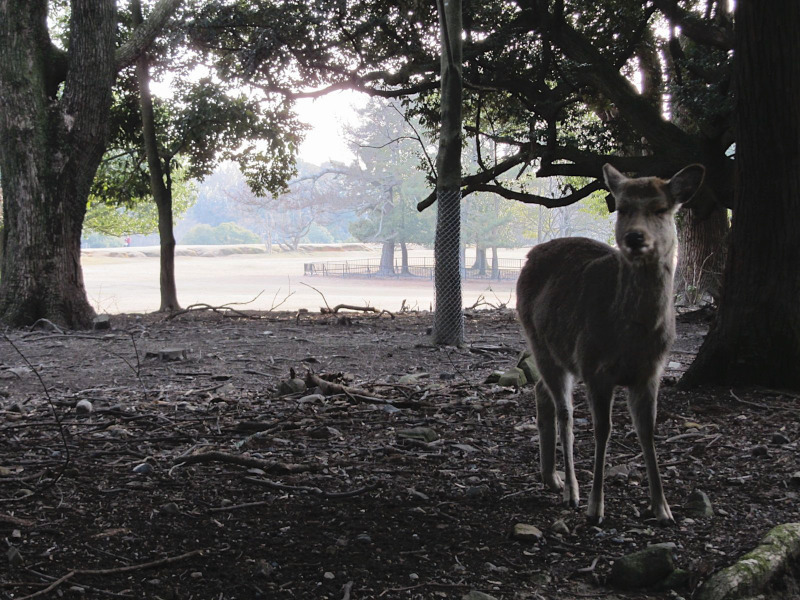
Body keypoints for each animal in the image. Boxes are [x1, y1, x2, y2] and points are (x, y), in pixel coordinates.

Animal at [516, 164, 704, 524]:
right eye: (623, 207)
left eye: (660, 208)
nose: (635, 237)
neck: (632, 337)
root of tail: (530, 254)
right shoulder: (595, 367)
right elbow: (603, 429)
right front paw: (595, 507)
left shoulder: (651, 372)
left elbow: (647, 430)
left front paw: (663, 508)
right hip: (538, 339)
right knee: (564, 411)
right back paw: (570, 491)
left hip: (556, 353)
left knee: (540, 390)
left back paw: (551, 477)